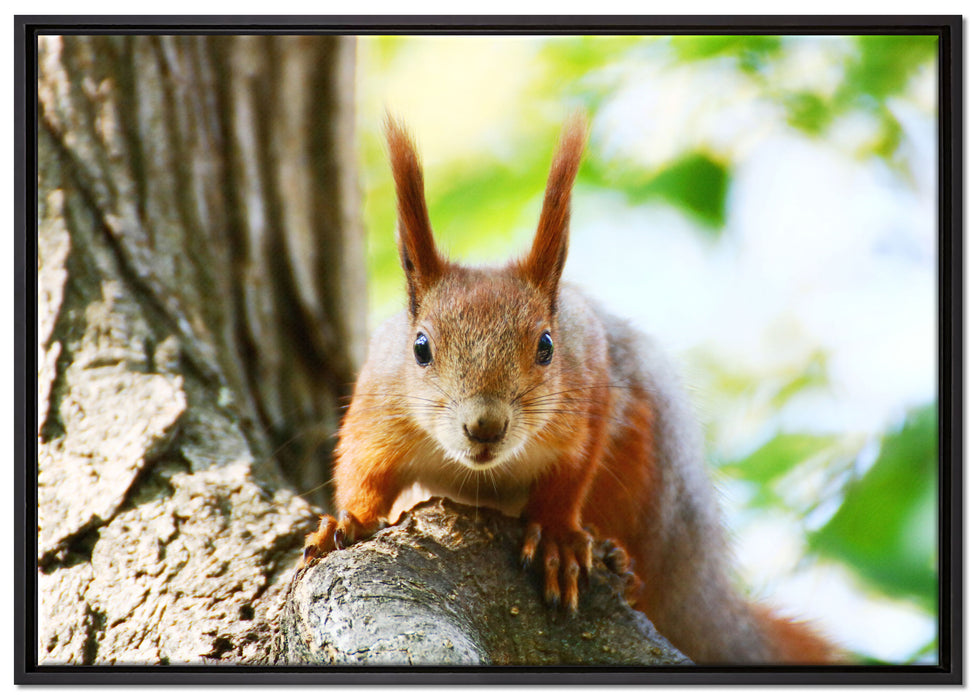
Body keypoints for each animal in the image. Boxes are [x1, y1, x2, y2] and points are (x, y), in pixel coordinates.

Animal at [303, 114, 841, 665]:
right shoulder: (379, 407)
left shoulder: (590, 396)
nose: (485, 426)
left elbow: (570, 475)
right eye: (420, 347)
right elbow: (363, 470)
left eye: (546, 345)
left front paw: (558, 539)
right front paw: (347, 521)